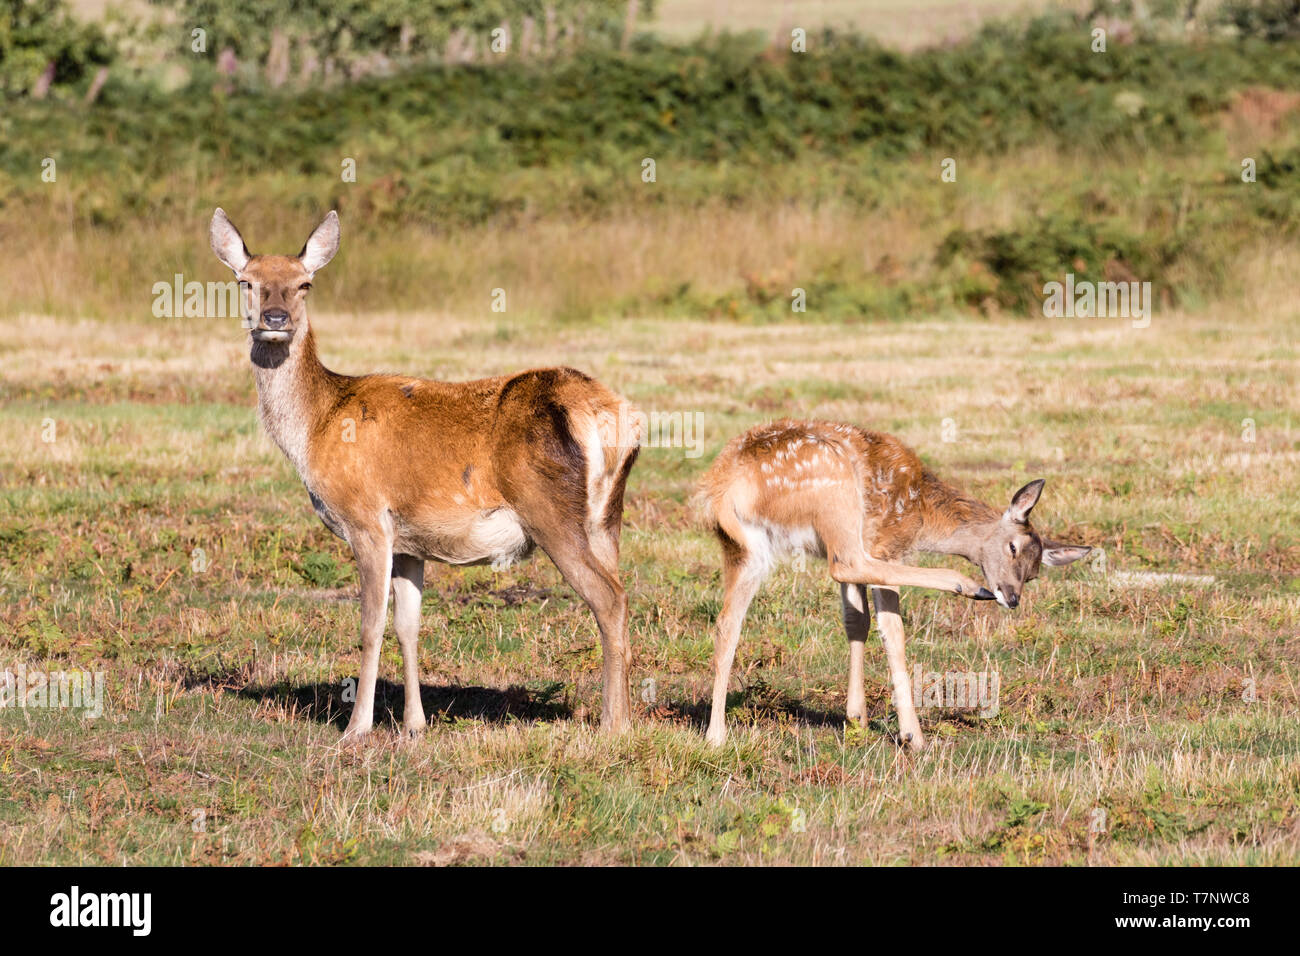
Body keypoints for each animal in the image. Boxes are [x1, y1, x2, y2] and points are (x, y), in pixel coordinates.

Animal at [210, 209, 642, 743]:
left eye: (304, 283)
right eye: (246, 282)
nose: (275, 319)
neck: (317, 427)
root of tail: (617, 418)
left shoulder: (367, 518)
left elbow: (370, 624)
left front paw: (357, 728)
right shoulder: (410, 542)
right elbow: (408, 625)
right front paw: (414, 724)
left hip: (551, 512)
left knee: (609, 599)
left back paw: (611, 727)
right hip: (607, 518)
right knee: (620, 592)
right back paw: (625, 720)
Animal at [702, 421, 1086, 749]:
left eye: (1034, 572)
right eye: (1012, 548)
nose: (1012, 597)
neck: (923, 517)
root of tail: (722, 489)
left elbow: (856, 621)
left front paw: (856, 718)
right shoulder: (885, 542)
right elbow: (891, 630)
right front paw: (911, 736)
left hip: (746, 549)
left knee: (727, 623)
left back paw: (715, 735)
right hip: (834, 493)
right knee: (846, 565)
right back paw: (967, 586)